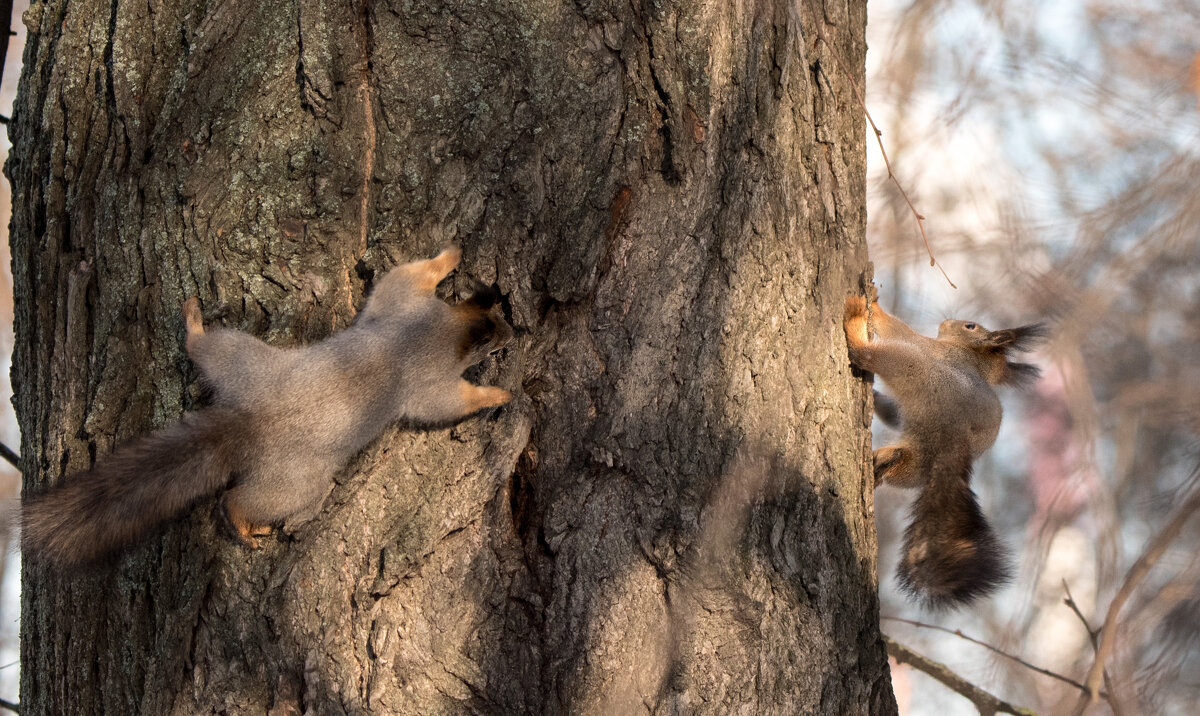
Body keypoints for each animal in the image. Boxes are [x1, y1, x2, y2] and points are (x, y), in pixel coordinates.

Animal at [23, 247, 511, 568]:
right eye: (493, 338)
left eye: (499, 315)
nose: (511, 333)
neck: (438, 329)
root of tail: (248, 423)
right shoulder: (425, 375)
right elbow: (446, 402)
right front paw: (498, 395)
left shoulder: (399, 305)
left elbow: (404, 277)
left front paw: (449, 255)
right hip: (294, 481)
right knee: (241, 500)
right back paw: (243, 523)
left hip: (242, 361)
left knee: (204, 350)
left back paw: (194, 325)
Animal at [840, 290, 1046, 609]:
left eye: (970, 326)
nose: (947, 321)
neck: (974, 357)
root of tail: (956, 436)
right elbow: (894, 414)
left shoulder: (931, 349)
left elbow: (900, 330)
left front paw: (872, 305)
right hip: (919, 458)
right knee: (901, 461)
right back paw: (881, 461)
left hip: (916, 369)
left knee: (876, 356)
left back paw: (855, 326)